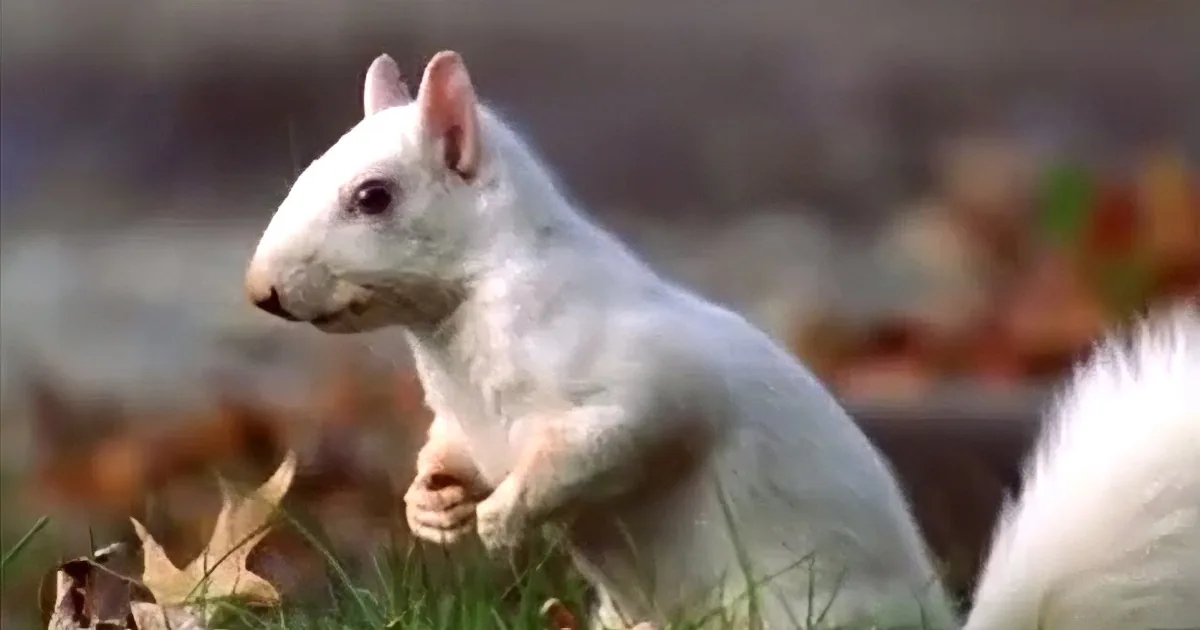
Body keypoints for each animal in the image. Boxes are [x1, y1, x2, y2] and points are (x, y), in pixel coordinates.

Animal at [244, 51, 1200, 629]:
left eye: (373, 197)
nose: (261, 291)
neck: (452, 332)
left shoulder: (634, 380)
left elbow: (612, 439)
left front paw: (505, 516)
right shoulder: (463, 419)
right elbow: (450, 451)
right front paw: (431, 504)